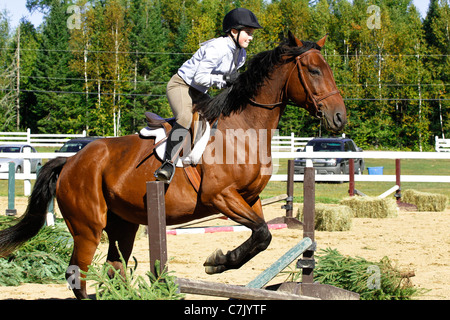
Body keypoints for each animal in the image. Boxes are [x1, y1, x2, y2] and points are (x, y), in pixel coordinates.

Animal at [0, 31, 346, 298]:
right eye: (313, 70)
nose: (340, 117)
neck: (245, 128)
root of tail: (71, 160)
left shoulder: (249, 199)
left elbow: (262, 236)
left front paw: (220, 262)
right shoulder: (220, 196)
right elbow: (262, 233)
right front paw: (217, 261)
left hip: (123, 225)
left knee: (113, 270)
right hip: (88, 228)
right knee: (78, 276)